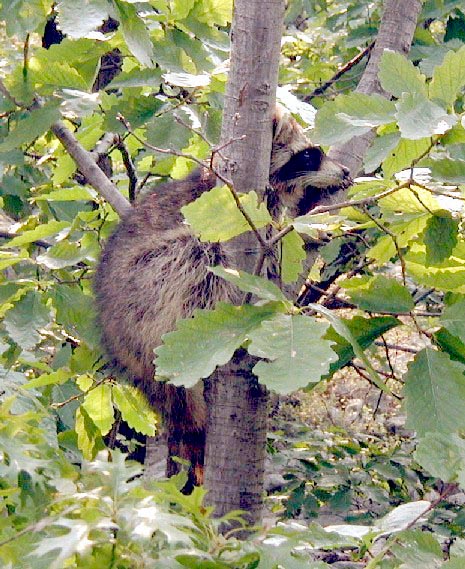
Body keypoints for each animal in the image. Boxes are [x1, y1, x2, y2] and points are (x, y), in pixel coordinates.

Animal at [93, 106, 351, 490]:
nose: (346, 172)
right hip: (145, 287)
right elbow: (270, 239)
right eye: (309, 155)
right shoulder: (235, 208)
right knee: (197, 253)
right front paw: (301, 233)